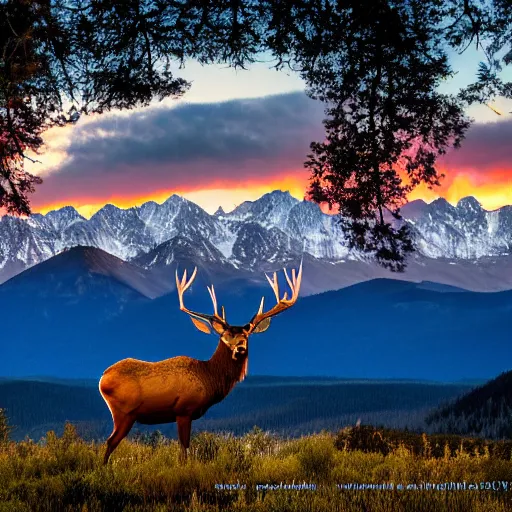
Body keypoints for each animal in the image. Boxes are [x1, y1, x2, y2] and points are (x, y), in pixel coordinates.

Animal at [98, 262, 302, 466]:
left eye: (246, 336)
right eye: (225, 336)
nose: (240, 348)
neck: (208, 377)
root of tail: (102, 378)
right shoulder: (184, 410)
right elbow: (184, 449)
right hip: (125, 412)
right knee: (110, 441)